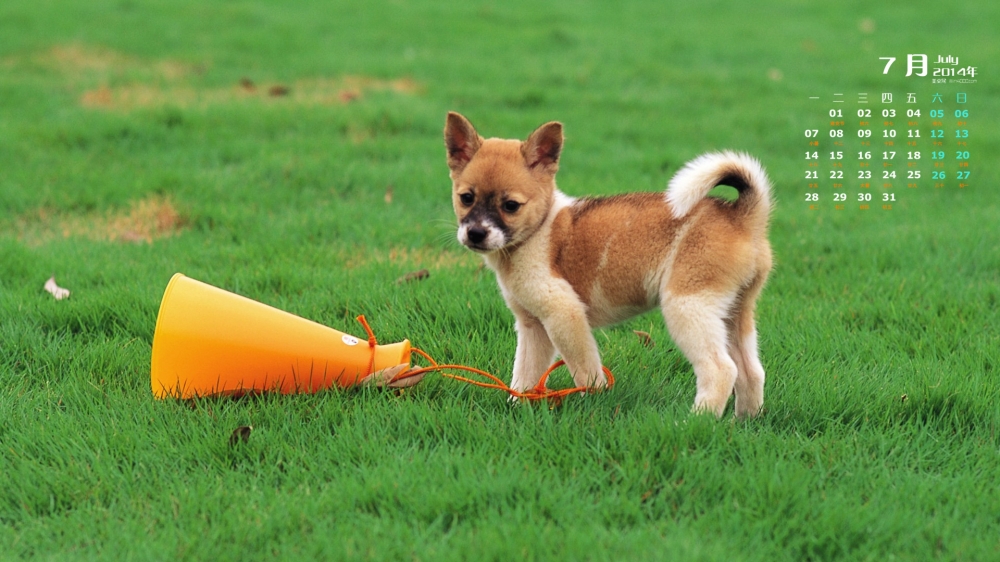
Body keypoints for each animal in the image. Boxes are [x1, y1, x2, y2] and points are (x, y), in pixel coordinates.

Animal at [444, 111, 772, 416]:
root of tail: (743, 216)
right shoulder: (532, 327)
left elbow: (585, 371)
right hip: (735, 314)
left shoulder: (564, 315)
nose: (475, 233)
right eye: (466, 198)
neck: (536, 231)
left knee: (721, 370)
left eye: (511, 205)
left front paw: (593, 402)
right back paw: (743, 423)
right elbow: (524, 375)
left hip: (688, 307)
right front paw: (518, 408)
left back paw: (696, 422)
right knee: (751, 372)